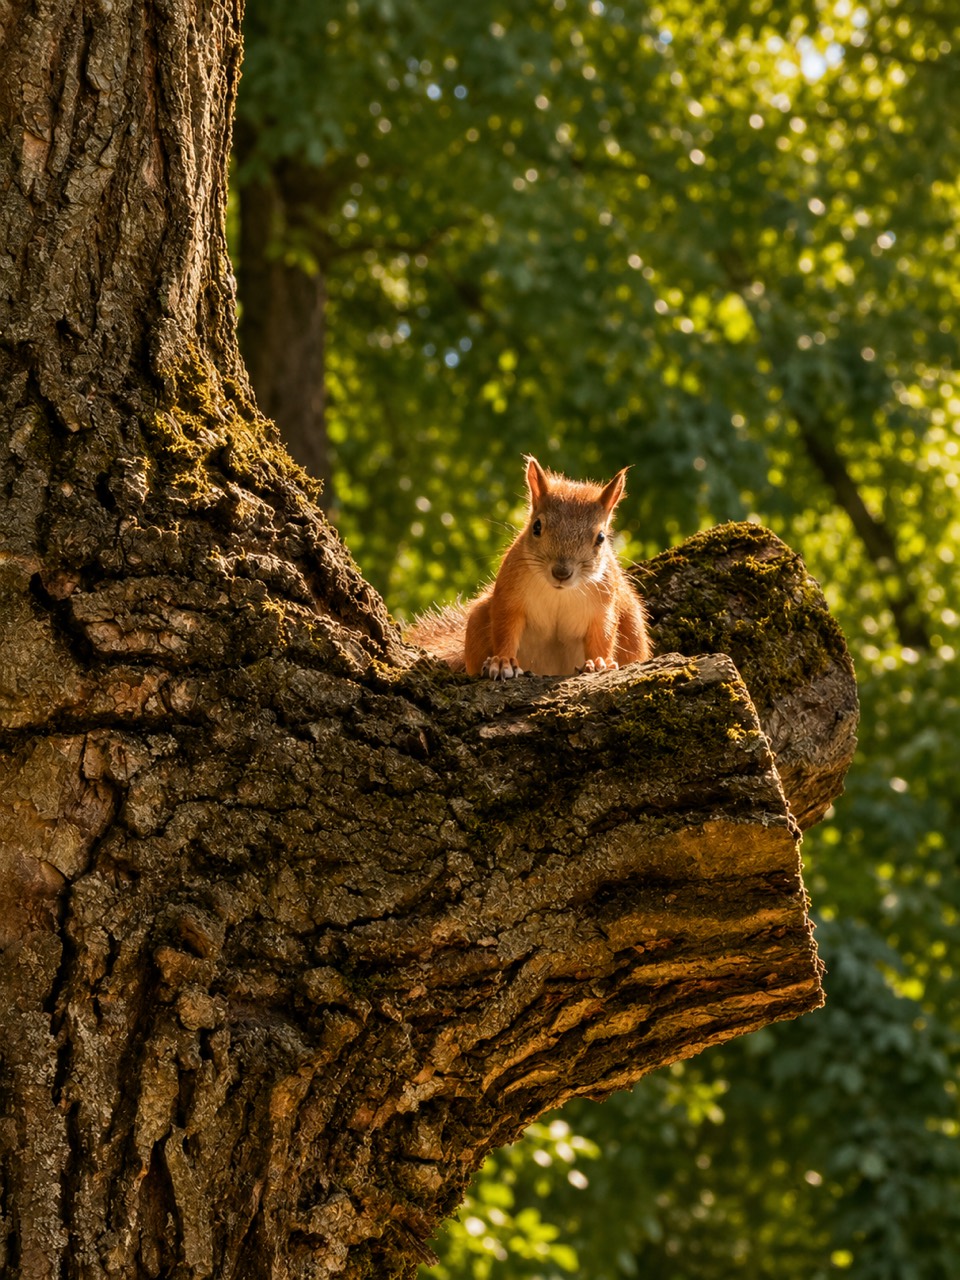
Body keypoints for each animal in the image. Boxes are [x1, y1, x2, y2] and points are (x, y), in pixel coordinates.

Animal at [407, 456, 652, 679]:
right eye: (536, 527)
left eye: (600, 537)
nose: (561, 573)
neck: (559, 593)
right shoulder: (509, 595)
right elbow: (505, 628)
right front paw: (502, 661)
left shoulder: (603, 607)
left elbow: (603, 635)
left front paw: (599, 661)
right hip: (478, 618)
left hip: (632, 624)